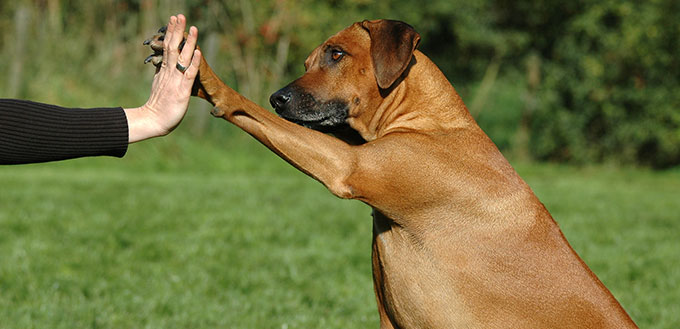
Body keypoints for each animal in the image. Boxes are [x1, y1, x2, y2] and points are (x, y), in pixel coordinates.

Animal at [146, 19, 640, 326]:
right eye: (308, 62)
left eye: (336, 54)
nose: (277, 98)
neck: (429, 122)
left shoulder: (347, 165)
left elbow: (244, 107)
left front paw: (205, 76)